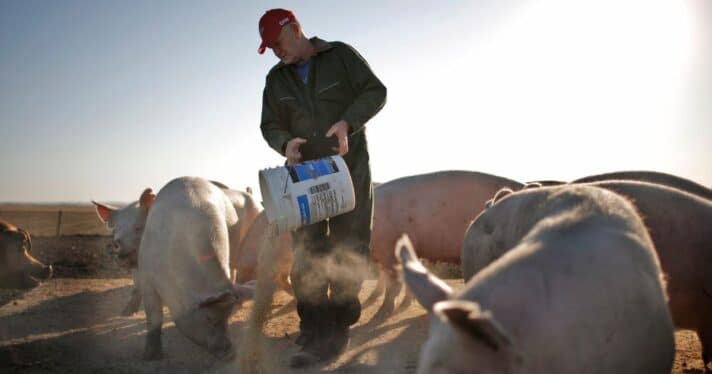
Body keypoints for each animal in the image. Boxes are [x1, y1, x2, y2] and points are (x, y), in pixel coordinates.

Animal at [136, 177, 253, 360]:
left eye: (227, 318)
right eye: (208, 318)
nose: (230, 353)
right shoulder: (146, 275)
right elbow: (154, 317)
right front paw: (151, 356)